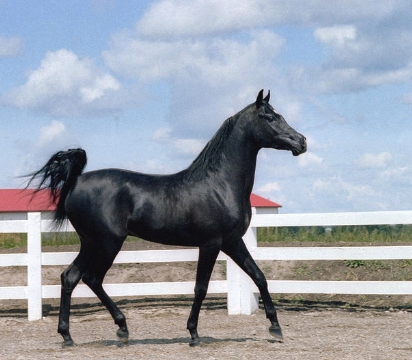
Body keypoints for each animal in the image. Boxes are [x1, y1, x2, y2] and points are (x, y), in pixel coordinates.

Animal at [27, 89, 306, 346]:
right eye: (269, 117)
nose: (301, 142)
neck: (221, 184)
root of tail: (76, 181)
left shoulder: (232, 242)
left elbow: (259, 276)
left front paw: (275, 327)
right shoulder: (211, 244)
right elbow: (201, 287)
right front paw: (193, 334)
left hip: (90, 243)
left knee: (70, 277)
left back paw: (69, 335)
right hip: (107, 243)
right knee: (91, 278)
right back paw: (120, 329)